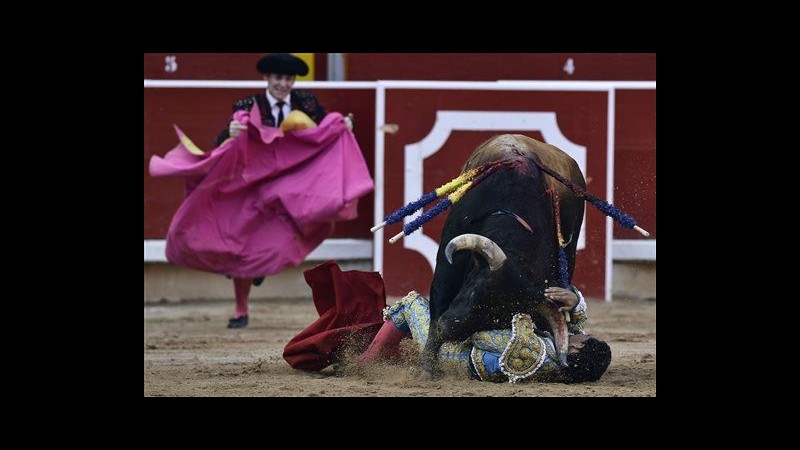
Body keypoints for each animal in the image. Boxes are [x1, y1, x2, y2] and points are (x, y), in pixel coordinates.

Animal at [418, 134, 588, 376]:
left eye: (495, 320)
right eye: (473, 289)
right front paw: (425, 367)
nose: (446, 329)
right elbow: (437, 303)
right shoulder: (448, 258)